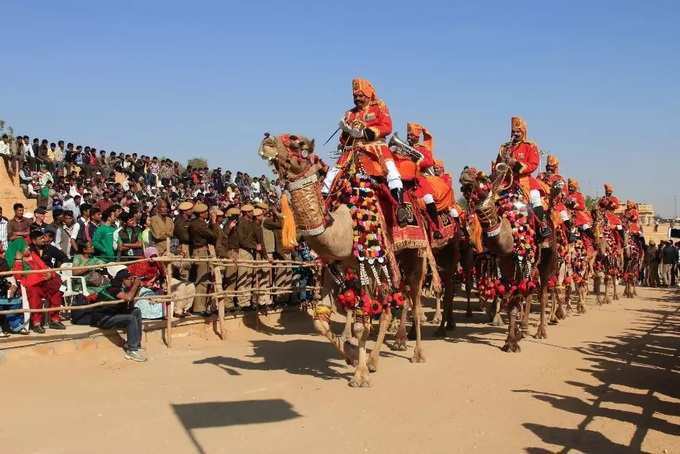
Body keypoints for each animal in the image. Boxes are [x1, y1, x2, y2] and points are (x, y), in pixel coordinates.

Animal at [258, 134, 428, 386]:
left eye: (297, 144)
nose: (267, 142)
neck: (342, 227)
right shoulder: (332, 267)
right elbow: (320, 323)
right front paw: (351, 357)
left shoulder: (365, 266)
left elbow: (360, 325)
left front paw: (359, 375)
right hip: (389, 265)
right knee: (389, 308)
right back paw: (375, 360)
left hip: (414, 256)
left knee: (414, 302)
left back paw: (416, 353)